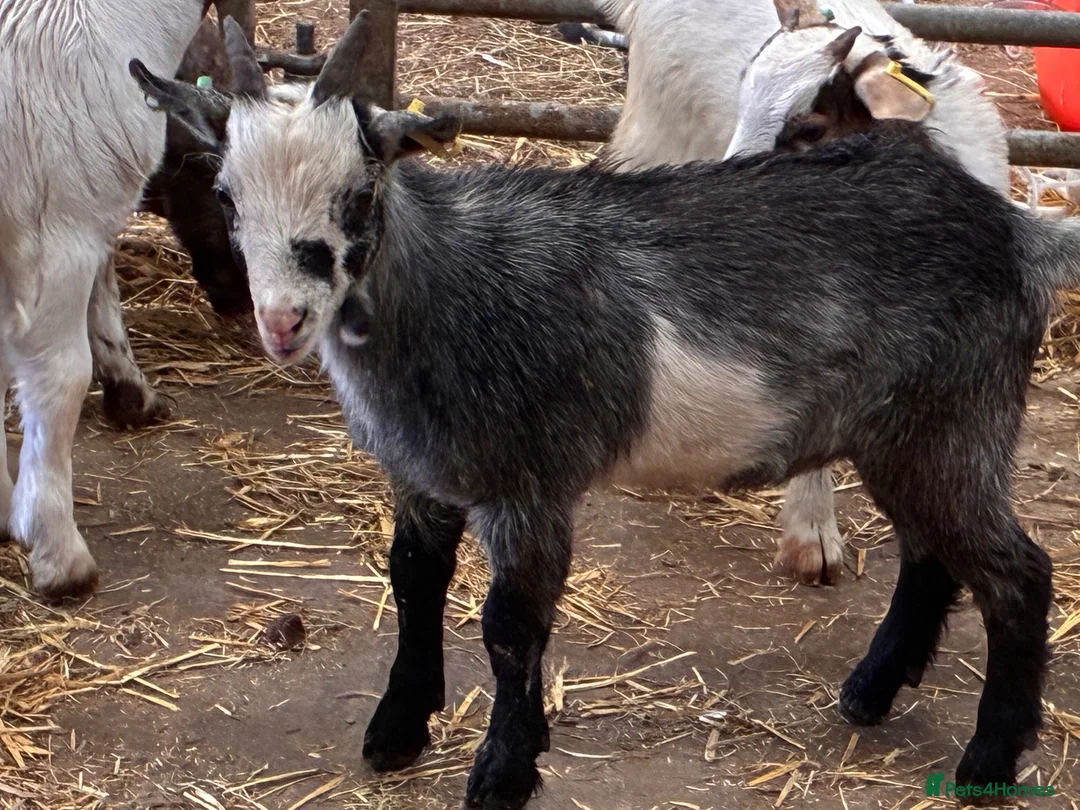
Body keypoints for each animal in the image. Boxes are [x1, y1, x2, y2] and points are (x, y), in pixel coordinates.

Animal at [135, 14, 1077, 808]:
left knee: (1019, 574)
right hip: (905, 433)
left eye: (359, 192)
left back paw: (988, 762)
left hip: (954, 421)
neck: (445, 291)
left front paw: (503, 772)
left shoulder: (531, 485)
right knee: (933, 557)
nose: (283, 321)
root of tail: (1017, 231)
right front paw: (397, 730)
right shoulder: (424, 474)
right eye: (225, 195)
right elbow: (413, 583)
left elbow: (510, 627)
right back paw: (871, 691)